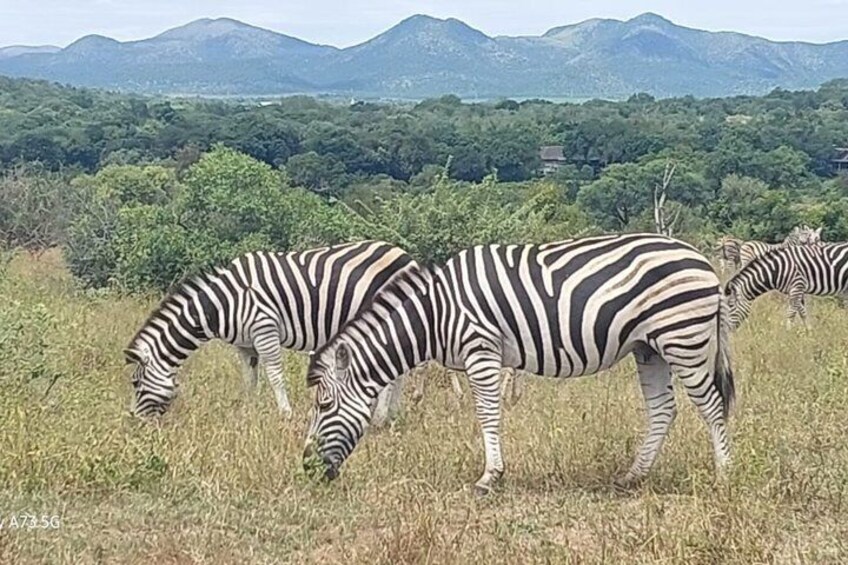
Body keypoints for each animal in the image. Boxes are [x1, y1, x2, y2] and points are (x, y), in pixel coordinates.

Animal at [124, 240, 418, 424]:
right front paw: (248, 412)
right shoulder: (245, 344)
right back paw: (391, 415)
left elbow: (275, 375)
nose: (134, 420)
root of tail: (407, 257)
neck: (221, 303)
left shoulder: (264, 328)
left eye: (136, 383)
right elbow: (249, 379)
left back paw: (379, 417)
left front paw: (285, 414)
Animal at [302, 233, 735, 494]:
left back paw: (723, 473)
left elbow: (487, 413)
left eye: (324, 405)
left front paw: (489, 477)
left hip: (682, 337)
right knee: (663, 410)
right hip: (649, 347)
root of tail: (701, 259)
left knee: (712, 405)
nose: (306, 467)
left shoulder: (481, 349)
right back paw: (633, 476)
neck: (436, 314)